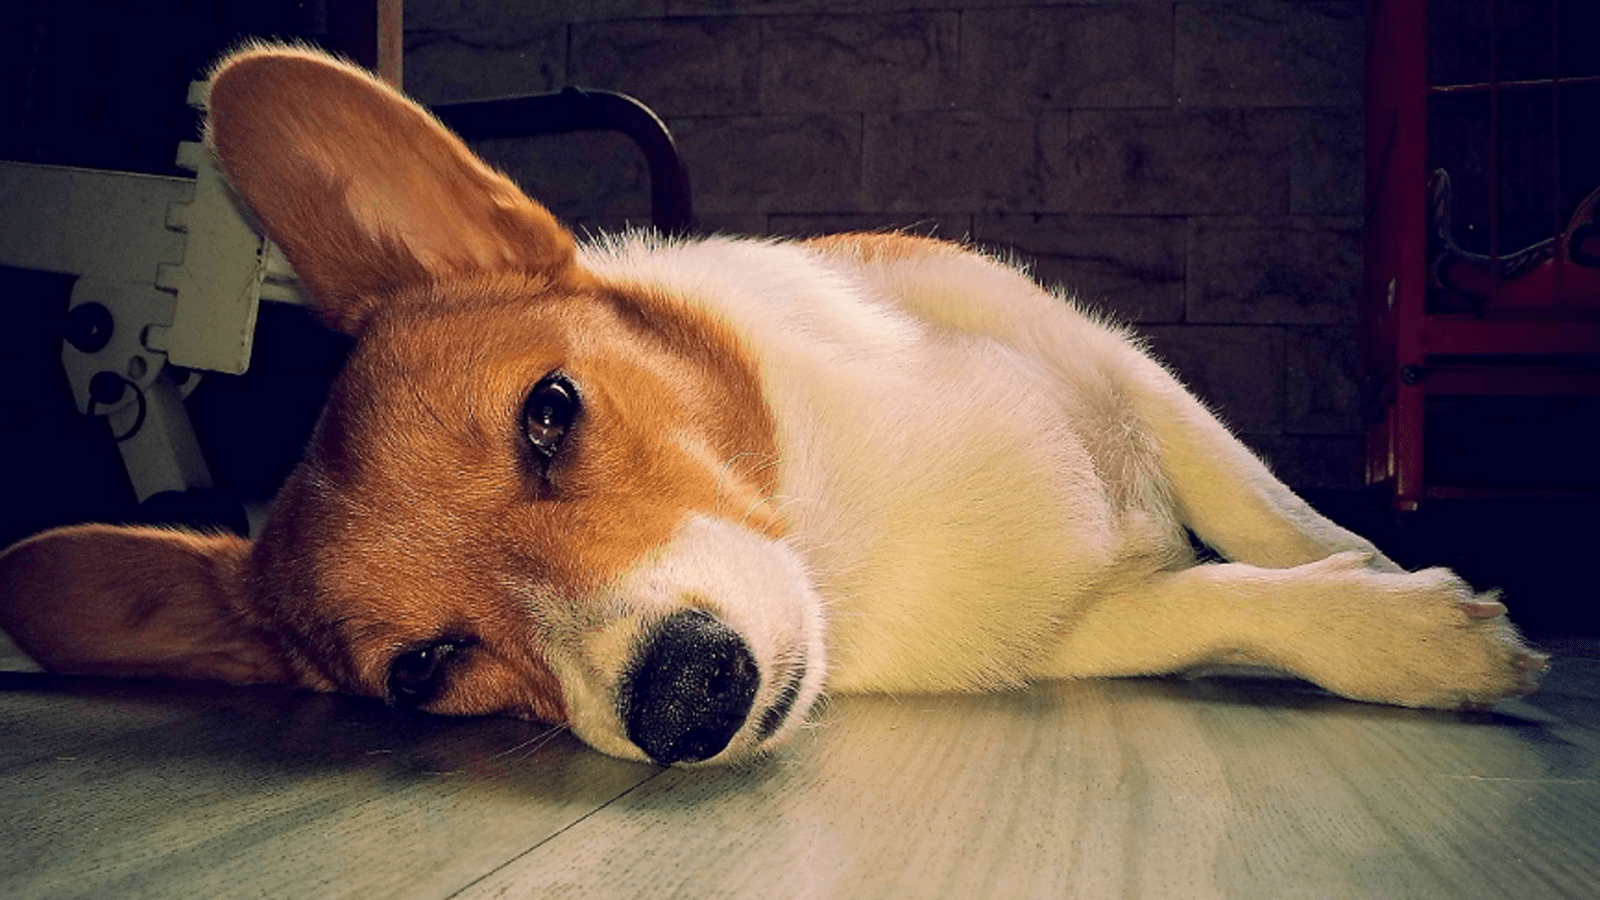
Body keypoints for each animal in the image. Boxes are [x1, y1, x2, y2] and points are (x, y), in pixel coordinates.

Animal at [0, 47, 1548, 762]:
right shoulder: (1086, 626)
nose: (687, 697)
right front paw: (1409, 637)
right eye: (424, 671)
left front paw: (1396, 586)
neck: (837, 514)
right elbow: (1223, 601)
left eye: (549, 412)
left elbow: (1266, 515)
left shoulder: (1118, 365)